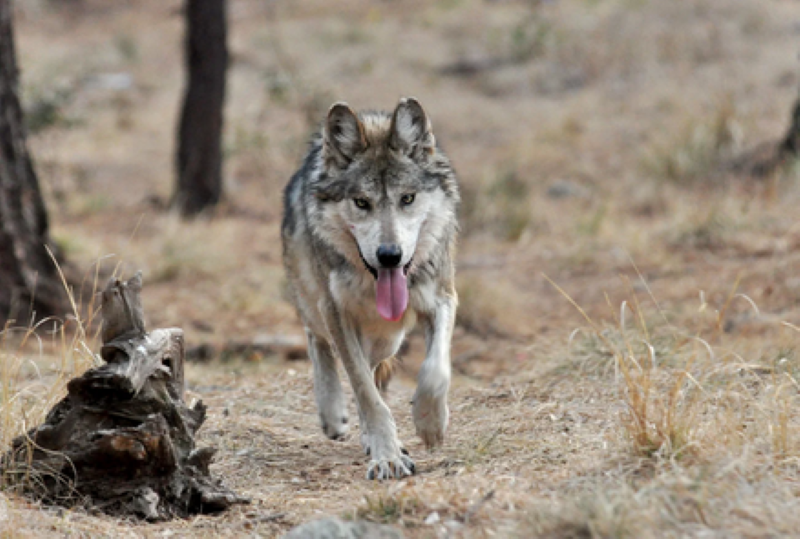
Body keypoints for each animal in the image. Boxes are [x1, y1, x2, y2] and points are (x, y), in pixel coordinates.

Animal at [281, 97, 460, 480]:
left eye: (407, 198)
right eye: (362, 202)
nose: (389, 255)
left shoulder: (442, 298)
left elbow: (435, 370)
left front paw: (429, 423)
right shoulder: (336, 312)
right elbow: (365, 391)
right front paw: (387, 456)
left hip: (387, 339)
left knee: (375, 368)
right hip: (314, 304)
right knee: (319, 343)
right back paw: (333, 413)